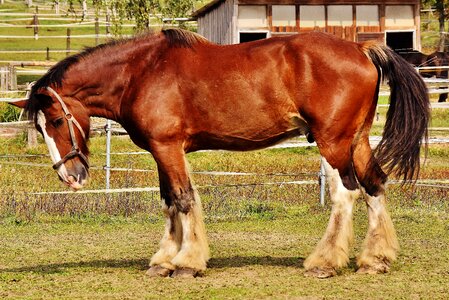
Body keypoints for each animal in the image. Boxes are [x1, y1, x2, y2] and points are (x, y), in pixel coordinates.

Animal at [14, 29, 428, 278]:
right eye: (39, 127)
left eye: (56, 120)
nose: (69, 177)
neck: (140, 73)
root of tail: (361, 47)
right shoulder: (162, 151)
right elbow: (168, 201)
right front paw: (164, 261)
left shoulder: (168, 148)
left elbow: (183, 199)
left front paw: (186, 263)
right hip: (357, 139)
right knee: (375, 185)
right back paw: (375, 259)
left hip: (334, 142)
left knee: (346, 193)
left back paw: (325, 262)